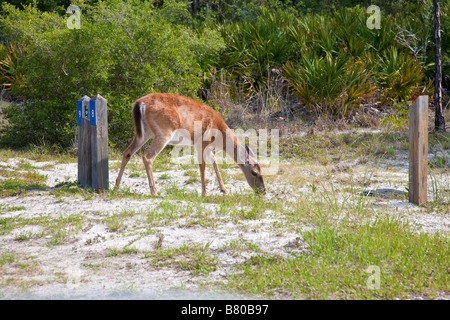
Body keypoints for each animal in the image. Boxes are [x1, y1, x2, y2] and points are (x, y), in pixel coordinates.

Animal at [114, 92, 266, 196]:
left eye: (261, 171)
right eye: (254, 172)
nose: (263, 191)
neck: (218, 134)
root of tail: (139, 103)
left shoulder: (207, 148)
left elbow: (214, 162)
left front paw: (224, 190)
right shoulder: (201, 143)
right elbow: (203, 166)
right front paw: (204, 193)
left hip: (144, 133)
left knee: (127, 152)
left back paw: (116, 187)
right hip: (164, 132)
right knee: (147, 157)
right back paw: (155, 192)